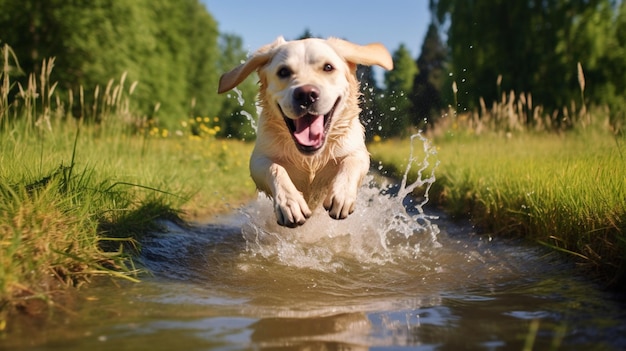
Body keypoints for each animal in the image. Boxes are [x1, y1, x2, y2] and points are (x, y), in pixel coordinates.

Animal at [217, 36, 388, 228]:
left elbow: (352, 161)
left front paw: (342, 195)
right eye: (283, 71)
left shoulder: (356, 150)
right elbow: (275, 168)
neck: (310, 158)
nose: (306, 94)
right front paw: (290, 203)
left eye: (328, 67)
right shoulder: (258, 160)